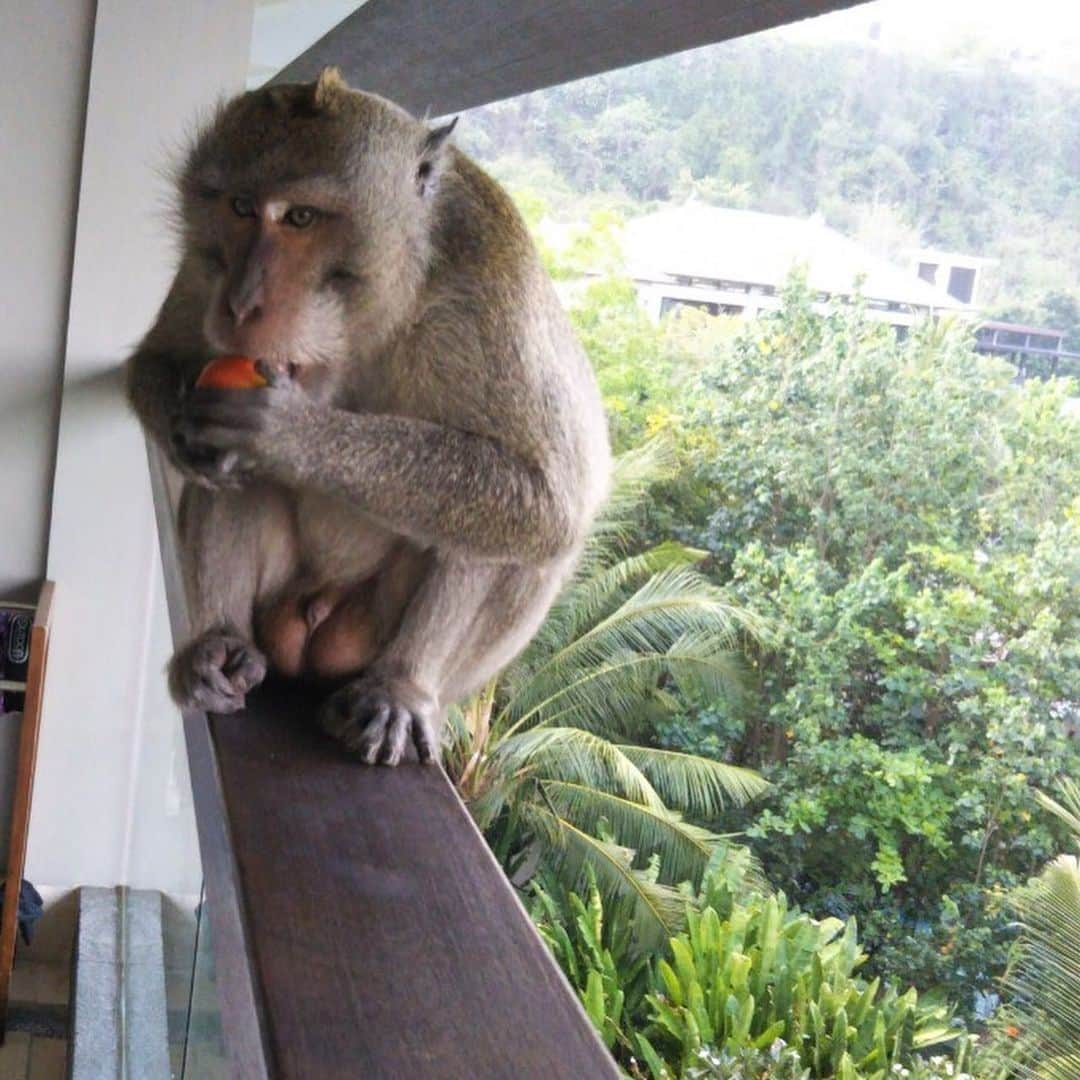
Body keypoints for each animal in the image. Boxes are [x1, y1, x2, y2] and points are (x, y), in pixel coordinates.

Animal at [125, 67, 613, 764]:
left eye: (300, 217)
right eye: (241, 208)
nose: (242, 304)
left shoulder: (496, 284)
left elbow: (545, 501)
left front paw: (289, 432)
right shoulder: (203, 263)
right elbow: (159, 358)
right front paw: (182, 432)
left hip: (376, 635)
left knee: (505, 538)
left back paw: (401, 686)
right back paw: (220, 642)